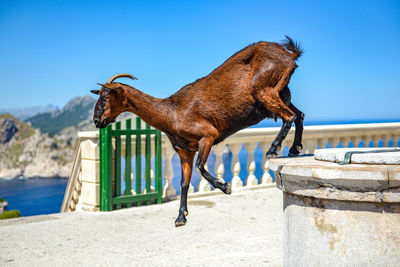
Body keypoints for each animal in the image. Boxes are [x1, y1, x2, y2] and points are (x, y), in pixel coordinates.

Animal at [90, 36, 304, 228]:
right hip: (279, 92)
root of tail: (288, 55)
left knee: (289, 116)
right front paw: (180, 217)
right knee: (299, 114)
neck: (171, 113)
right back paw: (294, 149)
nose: (97, 121)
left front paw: (225, 187)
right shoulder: (184, 151)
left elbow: (200, 166)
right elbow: (184, 184)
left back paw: (273, 149)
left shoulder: (207, 136)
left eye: (105, 97)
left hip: (264, 89)